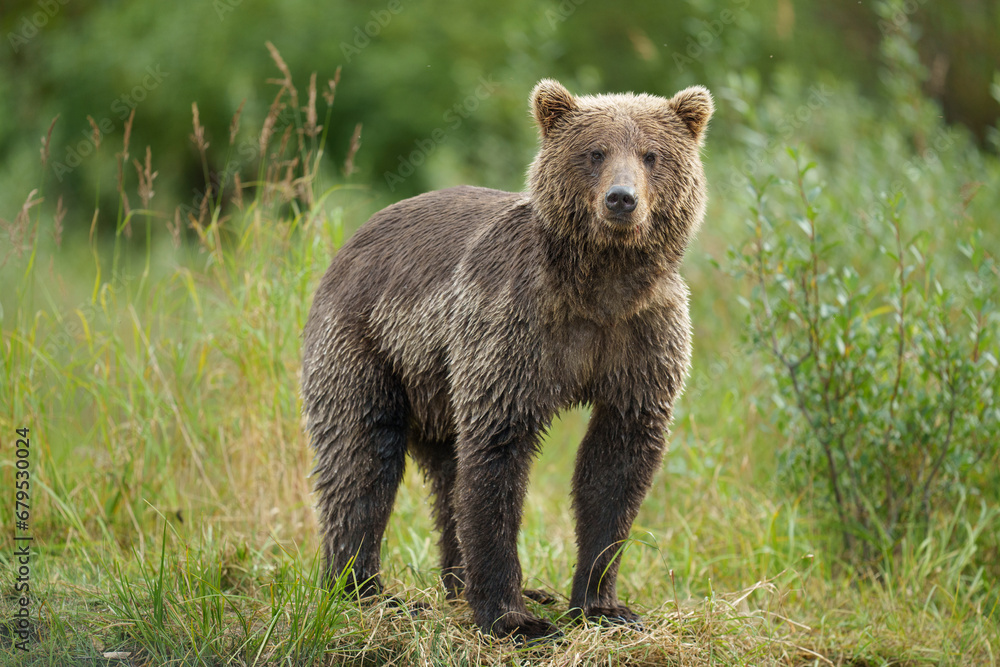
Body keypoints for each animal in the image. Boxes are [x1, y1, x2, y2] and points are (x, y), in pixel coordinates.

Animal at [301, 78, 713, 641]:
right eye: (595, 152)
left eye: (652, 154)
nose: (621, 200)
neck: (601, 285)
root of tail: (350, 244)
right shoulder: (512, 329)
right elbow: (497, 457)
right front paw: (513, 617)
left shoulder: (641, 339)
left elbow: (615, 467)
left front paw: (602, 604)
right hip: (368, 345)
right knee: (361, 457)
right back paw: (365, 589)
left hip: (436, 387)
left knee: (446, 477)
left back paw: (458, 584)